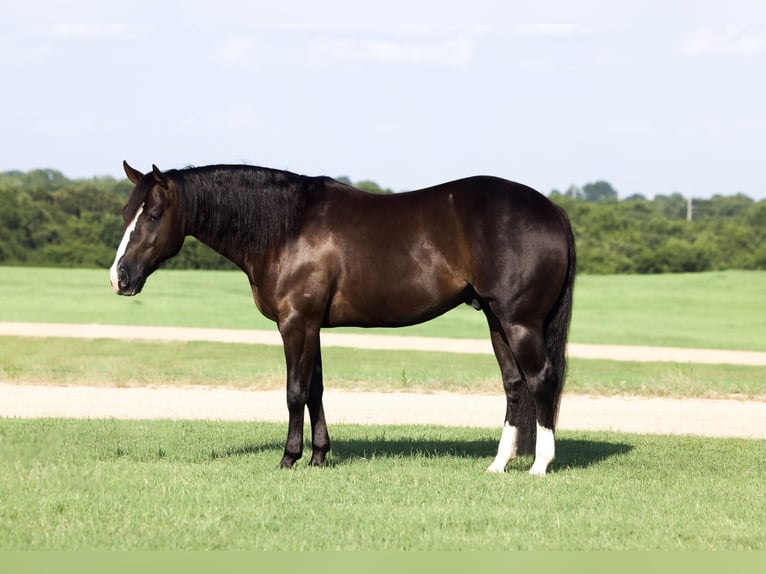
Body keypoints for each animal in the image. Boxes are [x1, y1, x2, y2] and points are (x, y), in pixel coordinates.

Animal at [108, 163, 576, 476]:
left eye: (153, 215)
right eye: (126, 212)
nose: (119, 277)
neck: (288, 227)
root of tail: (552, 210)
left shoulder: (295, 323)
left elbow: (295, 391)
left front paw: (289, 457)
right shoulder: (311, 325)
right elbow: (315, 390)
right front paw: (318, 455)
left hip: (520, 322)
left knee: (542, 381)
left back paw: (540, 465)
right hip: (497, 321)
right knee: (514, 385)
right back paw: (499, 464)